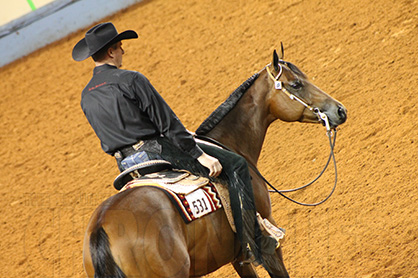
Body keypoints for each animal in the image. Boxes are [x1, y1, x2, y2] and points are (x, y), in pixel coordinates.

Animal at [81, 50, 346, 278]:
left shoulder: (238, 257)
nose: (340, 110)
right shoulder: (269, 247)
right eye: (296, 84)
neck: (230, 143)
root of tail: (101, 228)